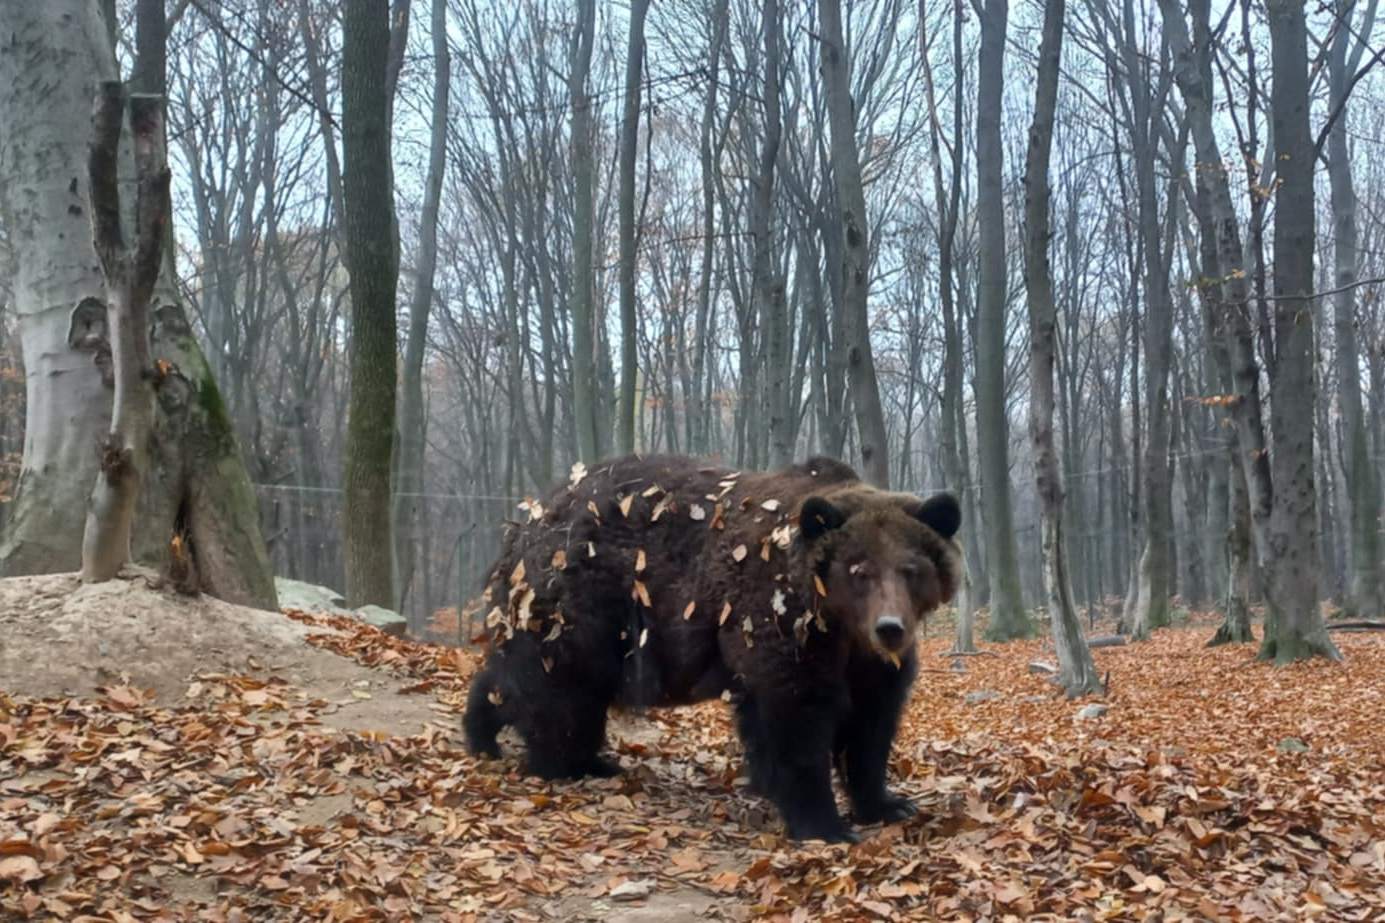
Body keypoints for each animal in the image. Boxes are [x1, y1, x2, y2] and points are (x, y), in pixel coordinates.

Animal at [459, 451, 958, 842]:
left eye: (911, 569)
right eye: (859, 571)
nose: (890, 628)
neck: (839, 627)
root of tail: (529, 519)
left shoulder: (867, 663)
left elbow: (871, 724)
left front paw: (889, 803)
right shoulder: (778, 622)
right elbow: (798, 718)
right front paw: (824, 824)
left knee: (519, 679)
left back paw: (489, 735)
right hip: (585, 599)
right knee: (558, 690)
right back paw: (568, 763)